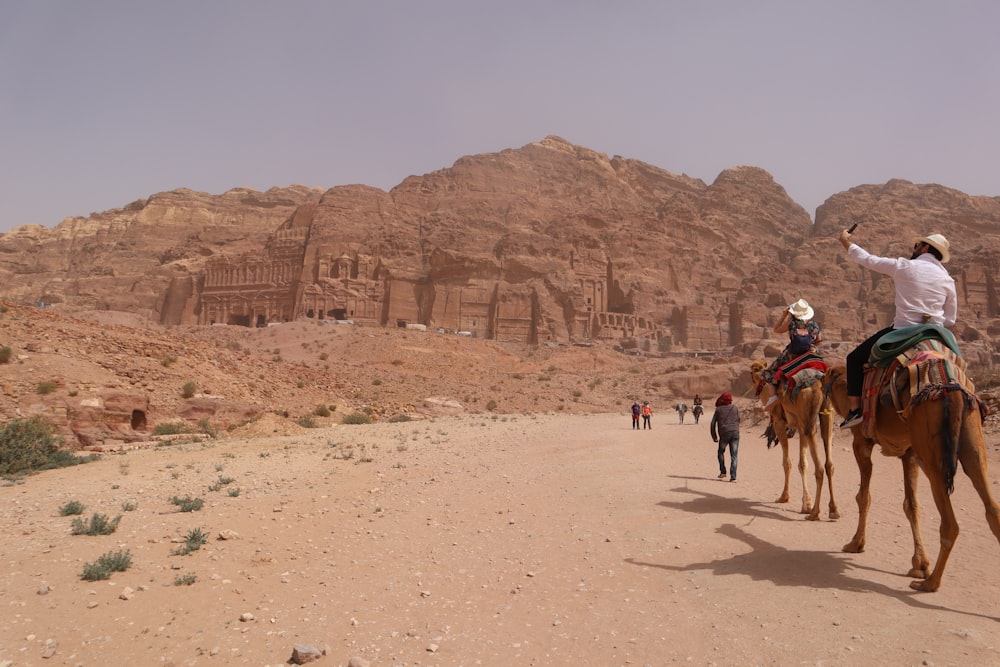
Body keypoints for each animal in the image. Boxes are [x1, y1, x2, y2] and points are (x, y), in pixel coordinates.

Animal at [752, 360, 836, 520]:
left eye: (751, 374)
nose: (756, 390)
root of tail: (818, 385)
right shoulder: (800, 427)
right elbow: (802, 464)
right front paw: (806, 504)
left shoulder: (779, 423)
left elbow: (787, 462)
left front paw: (784, 497)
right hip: (825, 415)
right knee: (829, 463)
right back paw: (834, 510)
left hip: (809, 420)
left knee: (819, 468)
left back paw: (815, 513)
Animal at [820, 362, 1000, 592]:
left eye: (825, 378)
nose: (819, 380)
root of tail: (952, 392)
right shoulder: (909, 453)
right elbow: (911, 505)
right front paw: (920, 564)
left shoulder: (861, 442)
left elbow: (863, 497)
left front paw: (856, 543)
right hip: (971, 441)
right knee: (991, 505)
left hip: (932, 455)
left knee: (950, 522)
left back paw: (930, 583)